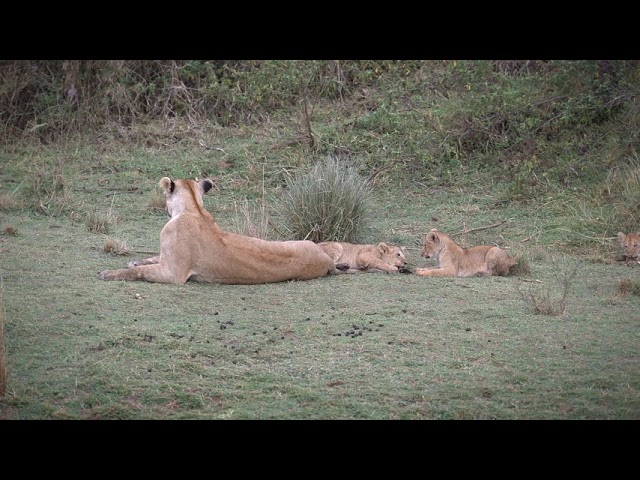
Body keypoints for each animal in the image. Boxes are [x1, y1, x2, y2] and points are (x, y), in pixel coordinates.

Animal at [99, 177, 336, 284]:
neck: (194, 209)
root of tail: (327, 261)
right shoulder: (167, 259)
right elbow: (150, 259)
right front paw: (135, 261)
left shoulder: (174, 274)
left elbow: (139, 272)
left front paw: (110, 273)